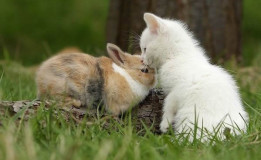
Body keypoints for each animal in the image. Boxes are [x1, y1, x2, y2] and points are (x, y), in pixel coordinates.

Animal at [140, 13, 248, 141]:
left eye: (145, 49)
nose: (141, 60)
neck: (176, 56)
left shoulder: (178, 90)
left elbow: (168, 104)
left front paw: (165, 124)